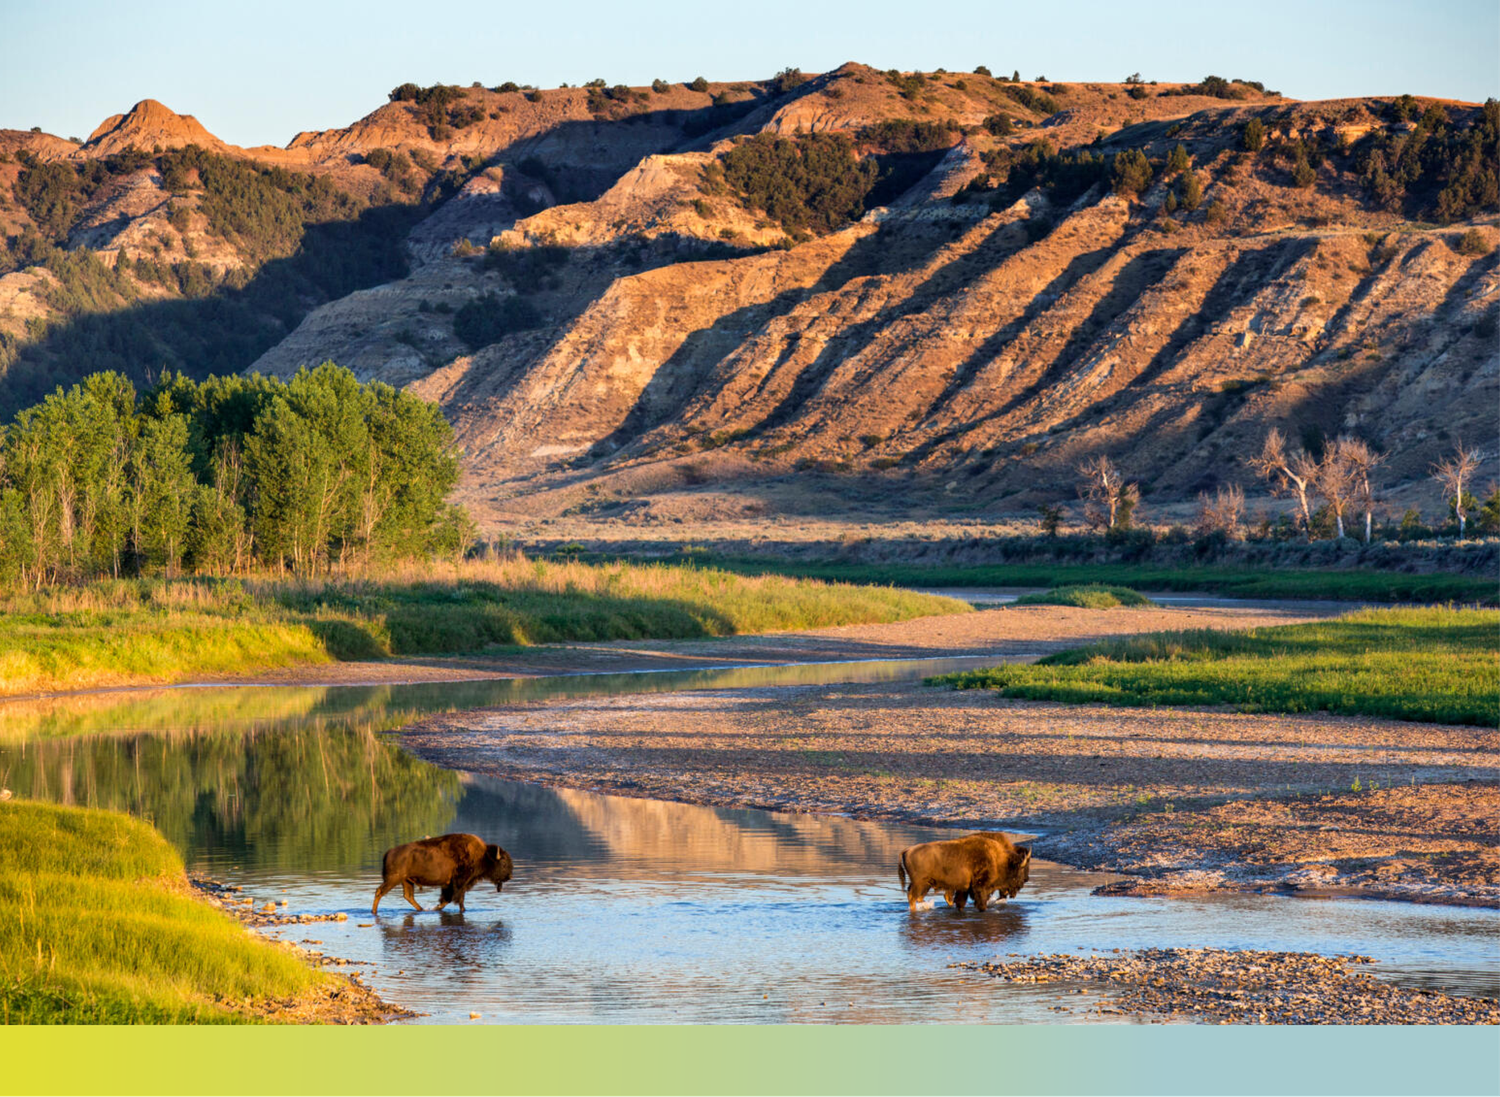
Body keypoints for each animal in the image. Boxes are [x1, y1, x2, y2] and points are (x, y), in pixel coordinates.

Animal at [373, 834, 516, 918]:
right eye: (503, 863)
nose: (509, 877)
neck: (483, 856)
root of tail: (388, 853)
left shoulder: (449, 885)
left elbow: (447, 900)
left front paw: (436, 908)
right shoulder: (459, 884)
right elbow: (457, 900)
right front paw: (462, 910)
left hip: (407, 881)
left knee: (409, 896)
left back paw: (422, 910)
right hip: (393, 879)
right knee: (379, 892)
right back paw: (374, 912)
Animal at [894, 828, 1026, 912]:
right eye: (1019, 870)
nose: (1023, 882)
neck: (998, 859)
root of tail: (907, 850)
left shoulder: (963, 888)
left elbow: (960, 902)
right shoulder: (980, 887)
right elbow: (980, 902)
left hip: (923, 884)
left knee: (915, 897)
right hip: (920, 884)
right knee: (912, 897)